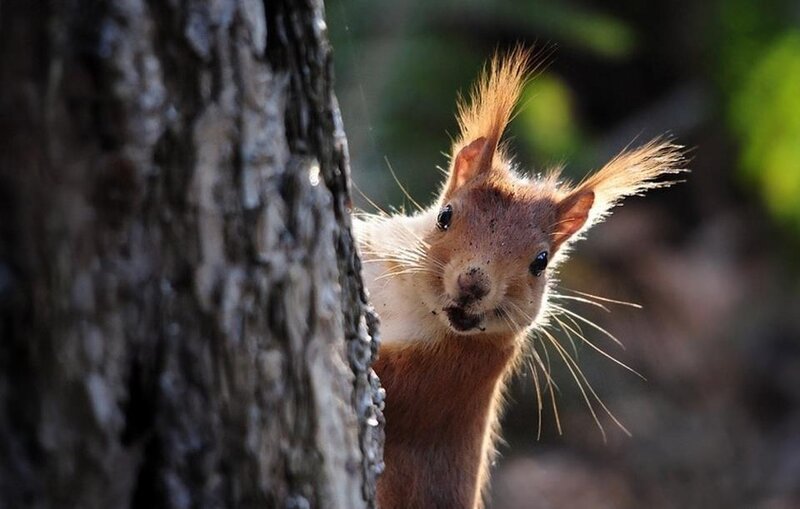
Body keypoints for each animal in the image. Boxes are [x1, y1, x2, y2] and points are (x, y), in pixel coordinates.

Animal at [353, 48, 684, 509]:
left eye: (540, 261)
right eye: (445, 216)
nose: (473, 285)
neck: (412, 302)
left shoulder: (444, 378)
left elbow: (390, 382)